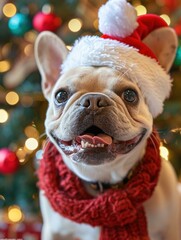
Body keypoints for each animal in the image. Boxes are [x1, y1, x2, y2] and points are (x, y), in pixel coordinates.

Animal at [34, 0, 180, 240]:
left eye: (130, 95)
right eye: (61, 95)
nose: (93, 100)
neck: (102, 181)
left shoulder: (170, 229)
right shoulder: (53, 231)